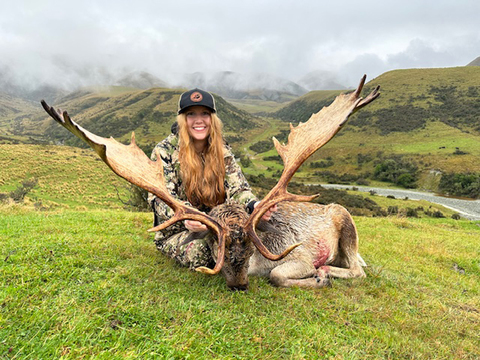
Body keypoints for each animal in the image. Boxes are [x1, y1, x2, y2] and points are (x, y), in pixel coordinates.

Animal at [40, 75, 378, 290]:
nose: (239, 285)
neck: (259, 264)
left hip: (345, 218)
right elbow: (277, 277)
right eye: (218, 247)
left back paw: (330, 269)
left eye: (249, 249)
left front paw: (319, 276)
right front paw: (318, 277)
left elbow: (278, 276)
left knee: (359, 270)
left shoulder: (300, 254)